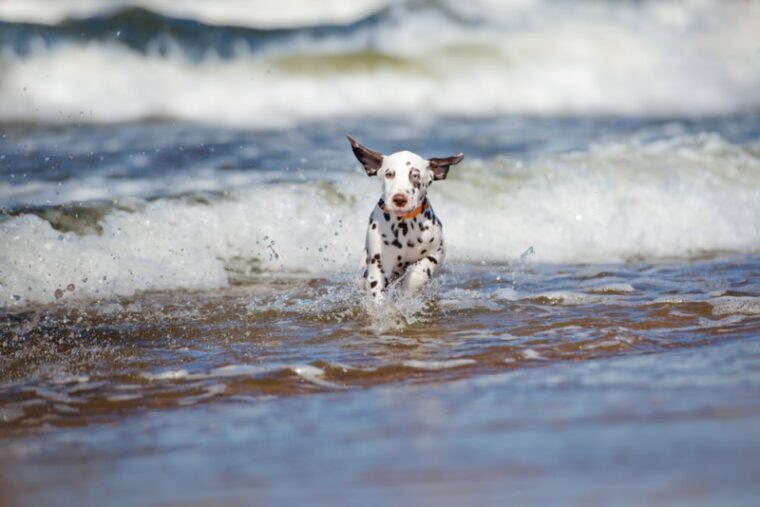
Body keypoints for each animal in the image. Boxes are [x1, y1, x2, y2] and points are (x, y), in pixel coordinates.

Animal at [348, 135, 464, 302]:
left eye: (415, 175)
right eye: (389, 174)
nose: (399, 198)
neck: (405, 226)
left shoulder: (438, 251)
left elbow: (420, 270)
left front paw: (409, 288)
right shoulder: (378, 264)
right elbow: (376, 287)